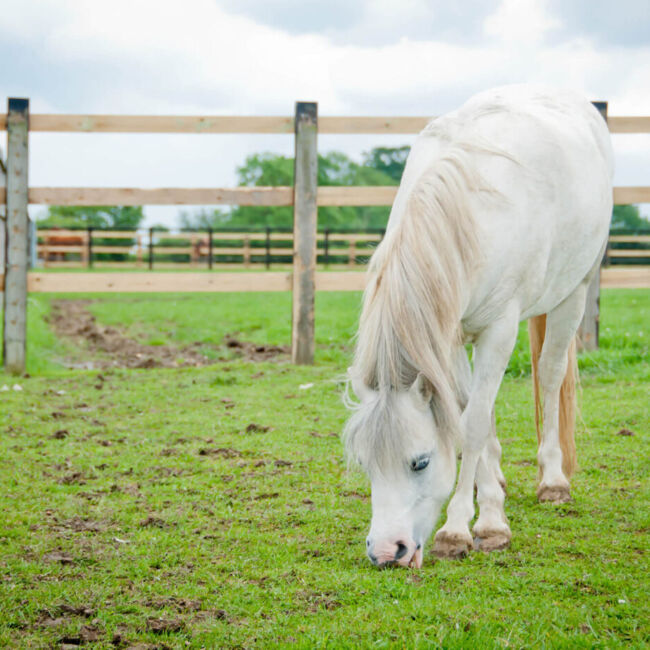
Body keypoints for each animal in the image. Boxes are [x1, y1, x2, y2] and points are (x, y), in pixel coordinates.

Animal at [344, 85, 613, 568]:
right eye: (366, 465)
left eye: (420, 462)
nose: (387, 552)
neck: (465, 213)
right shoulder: (448, 335)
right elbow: (474, 415)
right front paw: (488, 507)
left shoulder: (500, 329)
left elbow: (471, 424)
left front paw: (462, 529)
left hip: (574, 293)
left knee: (550, 375)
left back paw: (553, 480)